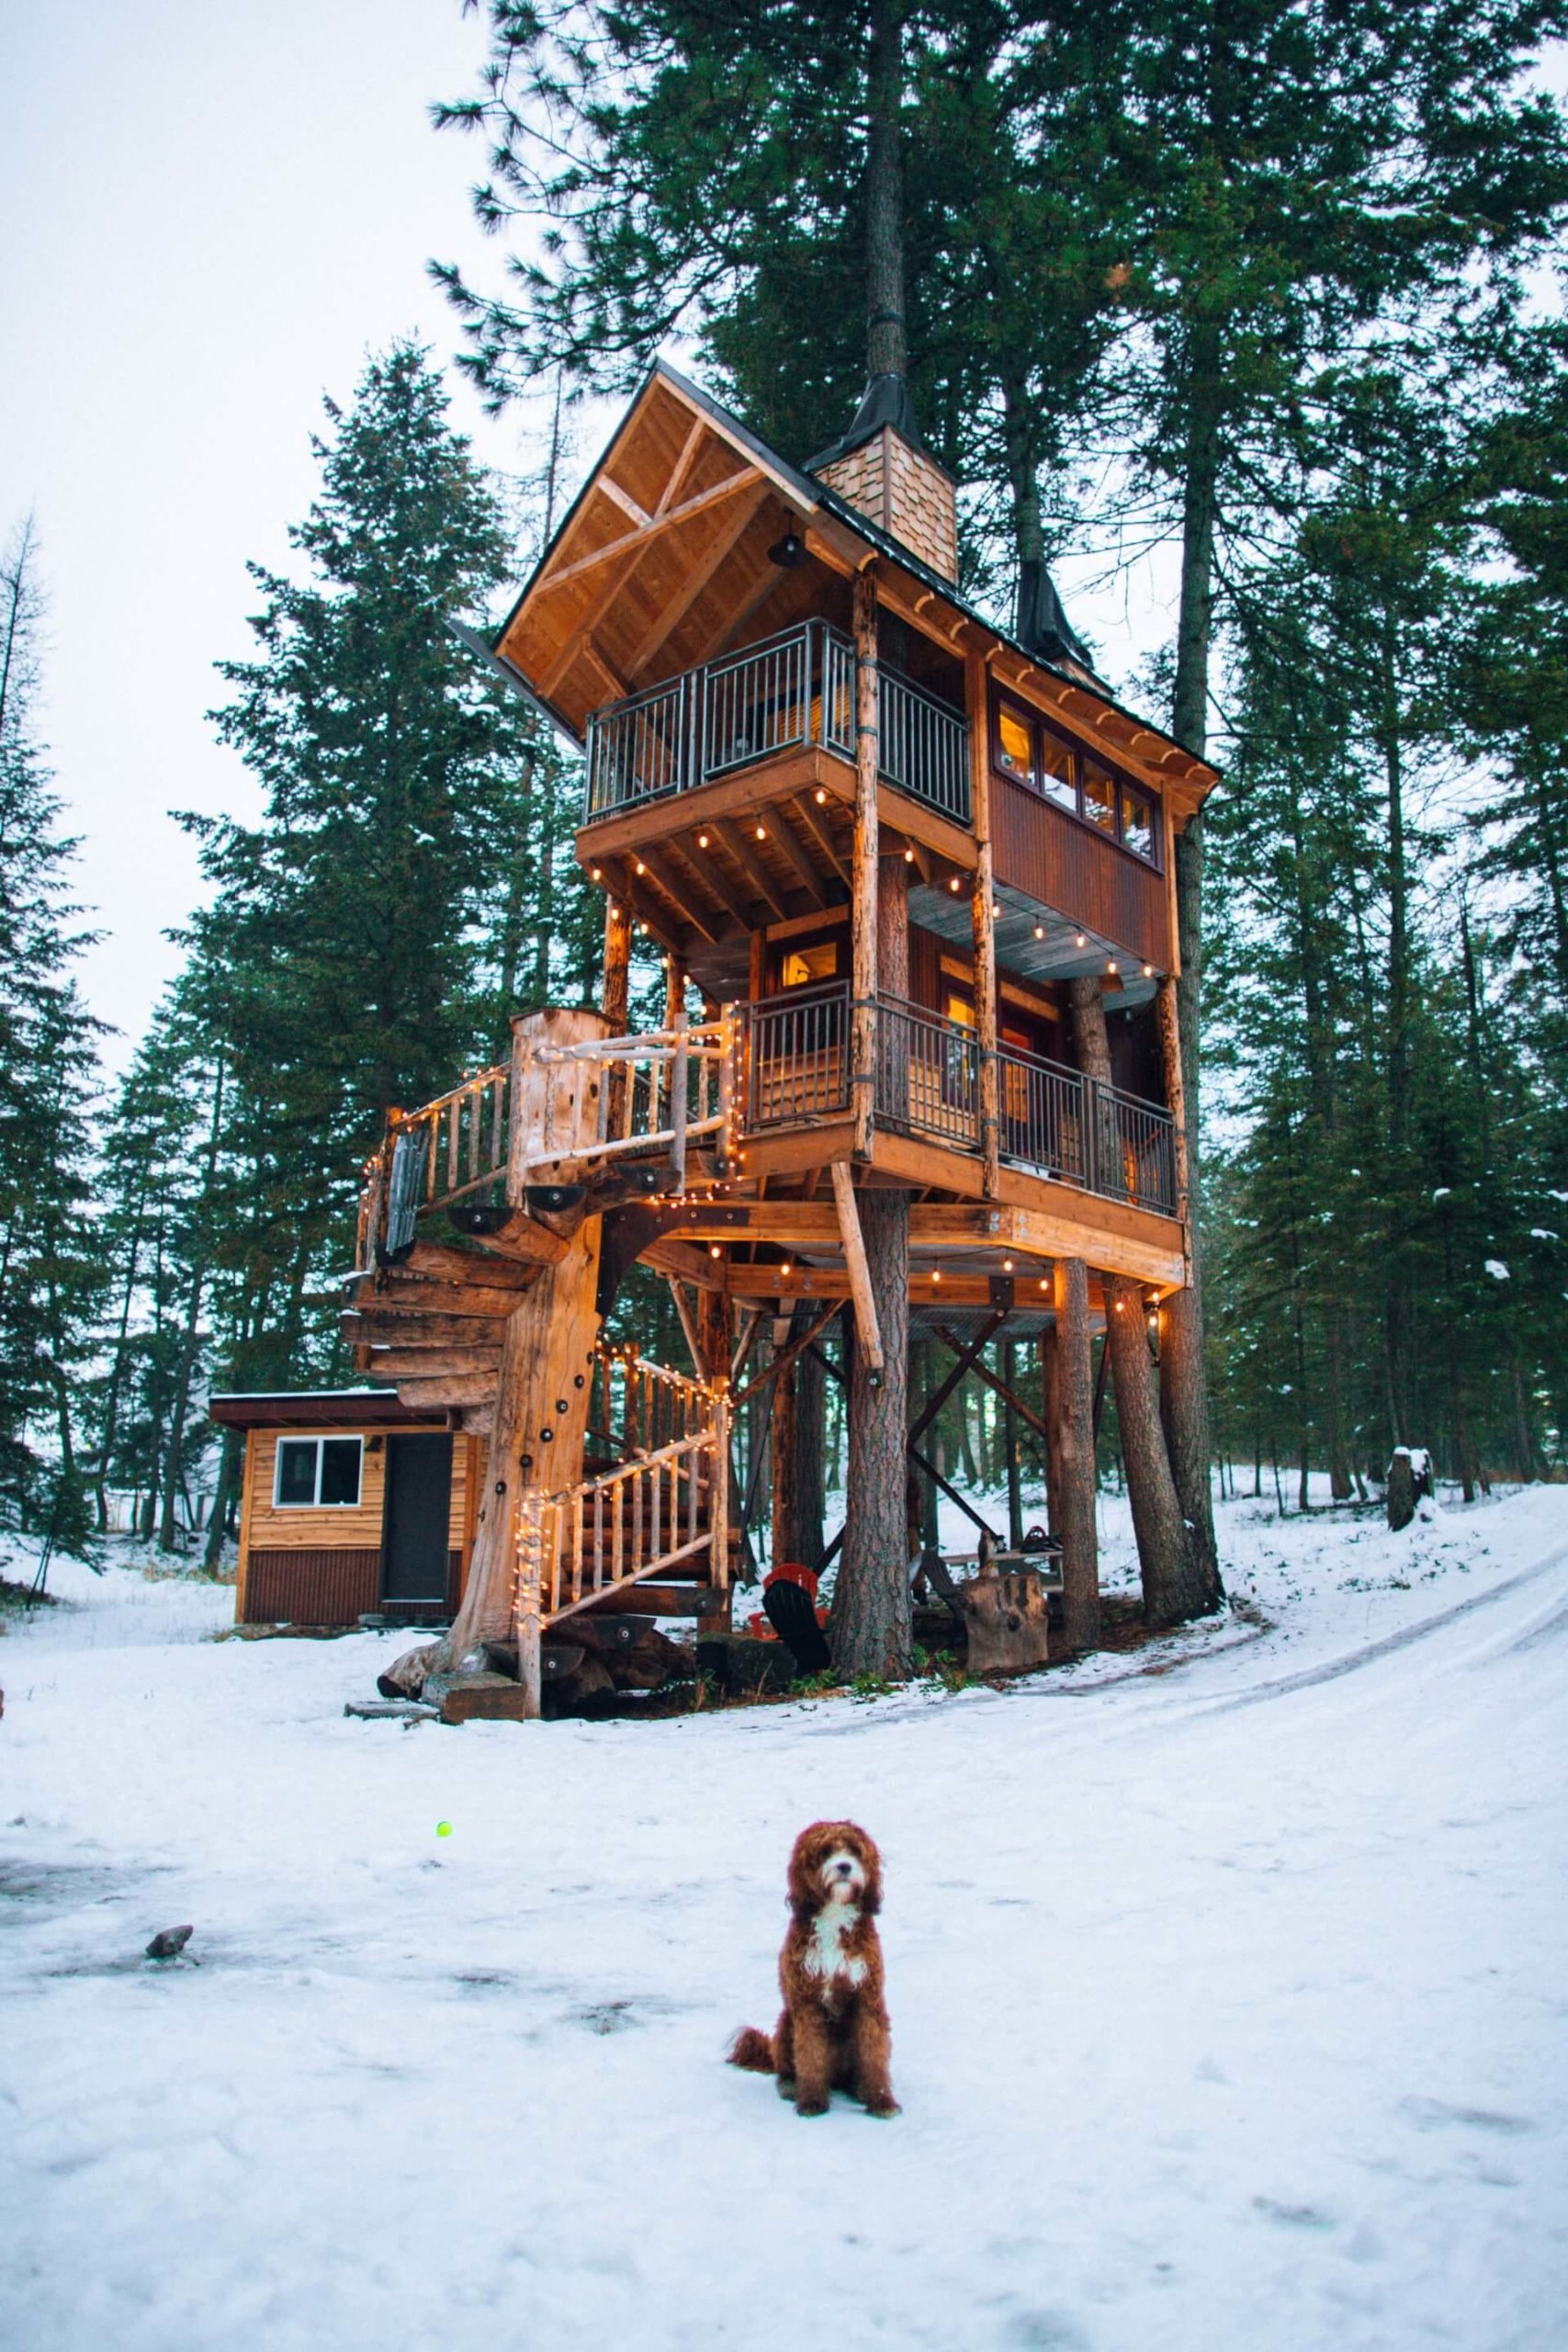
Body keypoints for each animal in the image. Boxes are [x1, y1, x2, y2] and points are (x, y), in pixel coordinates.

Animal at [728, 1806, 902, 2126]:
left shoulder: (868, 1997)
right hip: (786, 2024)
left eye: (854, 1850)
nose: (844, 1866)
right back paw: (790, 2086)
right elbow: (809, 2055)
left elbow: (875, 2055)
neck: (834, 1915)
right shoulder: (806, 2001)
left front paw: (882, 2101)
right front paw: (811, 2101)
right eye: (825, 1851)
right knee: (786, 2064)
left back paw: (859, 2089)